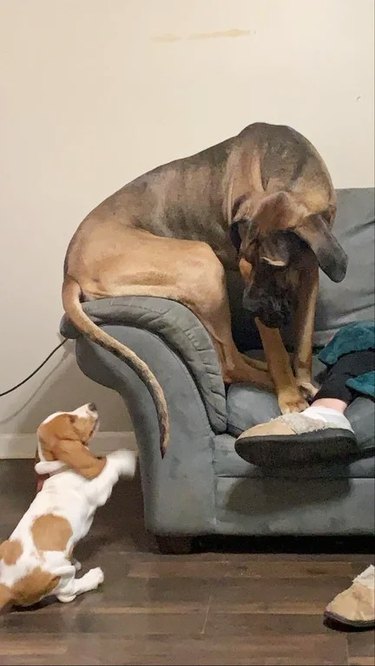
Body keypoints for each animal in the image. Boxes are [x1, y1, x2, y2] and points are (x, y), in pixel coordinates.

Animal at [0, 402, 137, 608]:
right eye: (71, 420)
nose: (92, 405)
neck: (63, 469)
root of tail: (8, 587)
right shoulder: (99, 486)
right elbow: (110, 464)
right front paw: (127, 458)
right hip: (61, 575)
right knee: (67, 593)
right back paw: (93, 577)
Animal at [63, 122, 348, 454]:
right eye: (246, 264)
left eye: (274, 266)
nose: (250, 308)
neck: (290, 175)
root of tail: (69, 271)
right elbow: (277, 351)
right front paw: (290, 395)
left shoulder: (311, 270)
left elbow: (303, 341)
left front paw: (302, 377)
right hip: (204, 261)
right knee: (228, 365)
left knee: (229, 352)